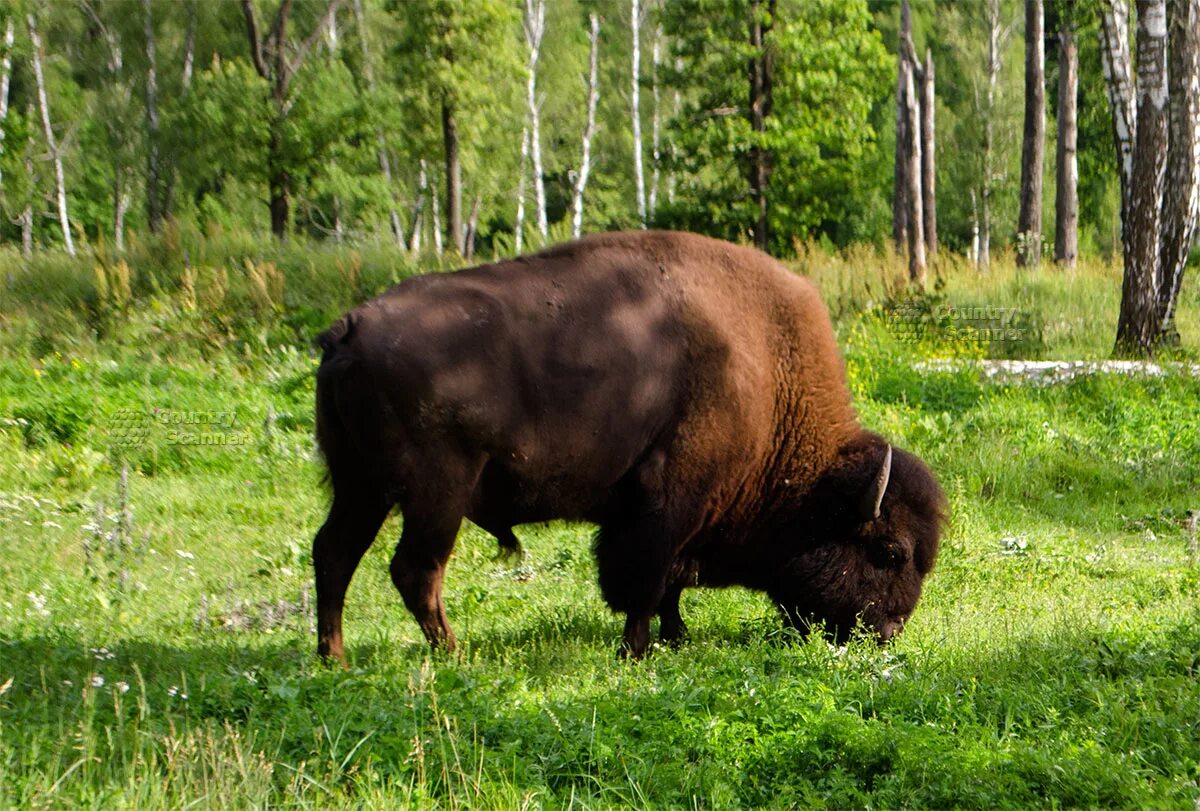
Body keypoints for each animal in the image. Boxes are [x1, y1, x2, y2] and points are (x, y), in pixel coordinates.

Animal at [312, 227, 945, 657]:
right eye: (889, 551)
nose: (888, 633)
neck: (768, 376)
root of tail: (351, 327)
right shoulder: (666, 505)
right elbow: (645, 580)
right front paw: (638, 649)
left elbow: (668, 585)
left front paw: (677, 636)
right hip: (435, 493)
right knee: (415, 570)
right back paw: (453, 654)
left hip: (360, 485)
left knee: (334, 553)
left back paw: (333, 658)